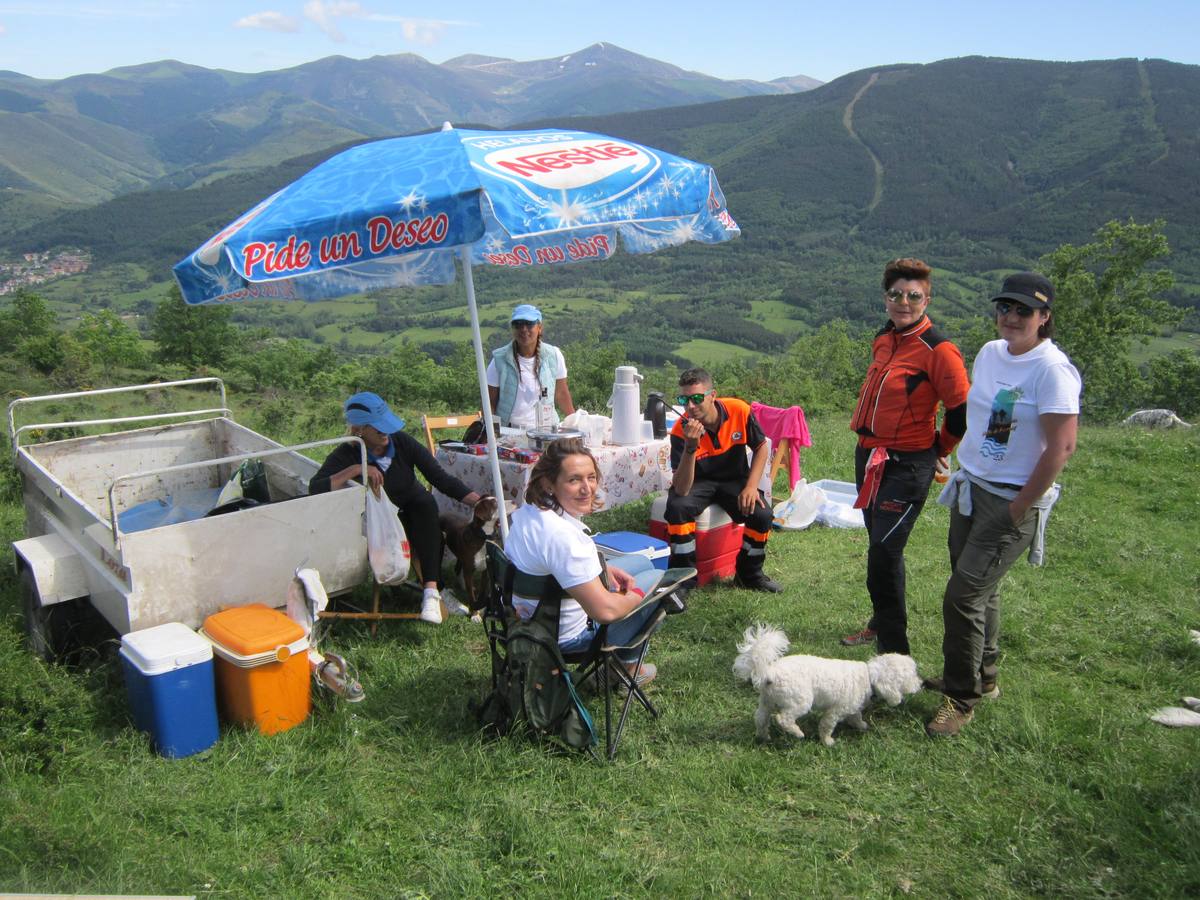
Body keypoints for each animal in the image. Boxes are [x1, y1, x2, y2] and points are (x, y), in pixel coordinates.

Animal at [724, 628, 921, 748]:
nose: (921, 684)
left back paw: (763, 737)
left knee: (760, 718)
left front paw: (861, 725)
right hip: (800, 700)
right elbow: (826, 726)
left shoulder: (851, 707)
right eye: (911, 675)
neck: (869, 677)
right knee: (783, 718)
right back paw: (797, 733)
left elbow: (856, 716)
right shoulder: (835, 711)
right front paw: (827, 741)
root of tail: (770, 672)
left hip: (767, 701)